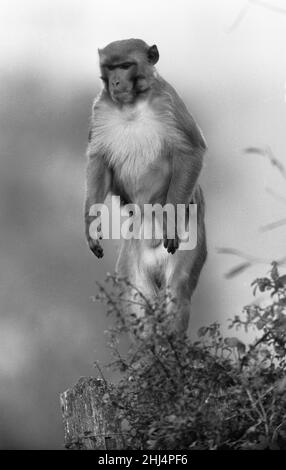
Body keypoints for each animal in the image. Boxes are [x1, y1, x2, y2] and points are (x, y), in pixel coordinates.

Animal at [85, 39, 208, 334]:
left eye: (126, 65)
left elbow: (191, 151)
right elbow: (100, 162)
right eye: (110, 67)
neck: (131, 105)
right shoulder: (100, 109)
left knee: (177, 289)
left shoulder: (170, 102)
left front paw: (170, 223)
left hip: (190, 237)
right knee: (139, 296)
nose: (116, 82)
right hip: (134, 252)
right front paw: (91, 225)